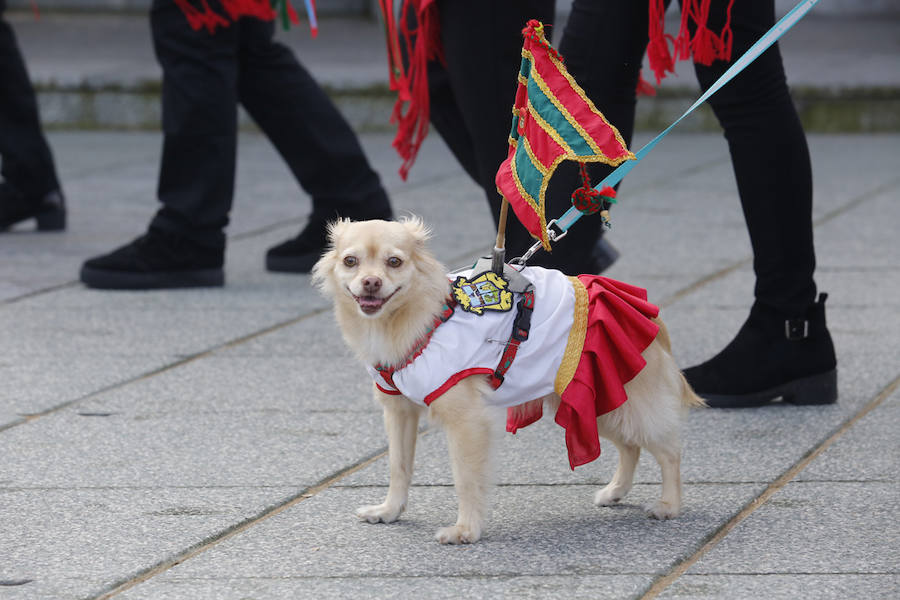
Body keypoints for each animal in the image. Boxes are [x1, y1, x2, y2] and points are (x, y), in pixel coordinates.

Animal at [312, 218, 708, 548]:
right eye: (351, 262)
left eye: (394, 262)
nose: (371, 282)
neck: (414, 320)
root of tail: (651, 316)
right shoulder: (399, 410)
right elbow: (399, 467)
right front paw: (389, 511)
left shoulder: (467, 422)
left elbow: (466, 477)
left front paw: (466, 530)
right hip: (596, 402)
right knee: (631, 447)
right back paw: (615, 492)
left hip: (628, 403)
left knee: (669, 451)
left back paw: (669, 505)